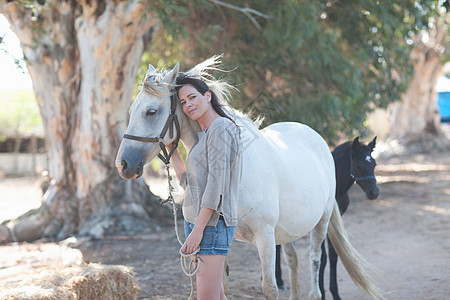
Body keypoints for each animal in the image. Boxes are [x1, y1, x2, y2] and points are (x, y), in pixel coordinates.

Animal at [276, 137, 378, 298]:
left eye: (374, 164)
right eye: (359, 165)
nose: (374, 192)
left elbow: (333, 255)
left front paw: (335, 294)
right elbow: (322, 257)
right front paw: (322, 293)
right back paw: (278, 281)